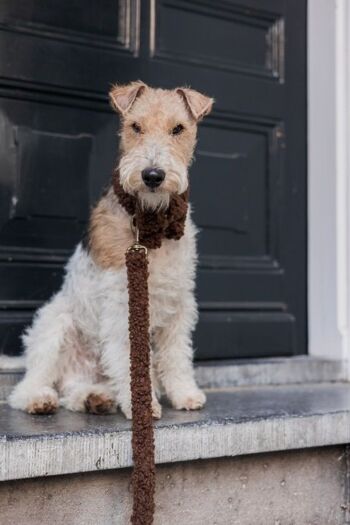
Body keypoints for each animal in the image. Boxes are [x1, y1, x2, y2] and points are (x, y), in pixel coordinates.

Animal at [8, 82, 213, 418]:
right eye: (135, 127)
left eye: (178, 129)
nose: (152, 175)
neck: (149, 221)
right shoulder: (122, 302)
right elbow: (130, 360)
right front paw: (143, 405)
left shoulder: (179, 301)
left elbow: (176, 354)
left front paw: (185, 394)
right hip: (55, 323)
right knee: (31, 383)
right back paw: (39, 399)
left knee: (75, 390)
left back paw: (95, 398)